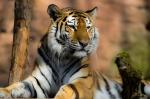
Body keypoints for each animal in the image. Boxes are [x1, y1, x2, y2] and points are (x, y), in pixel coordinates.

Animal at [0, 3, 150, 98]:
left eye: (88, 28)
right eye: (73, 27)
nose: (85, 43)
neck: (61, 58)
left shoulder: (82, 80)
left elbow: (66, 88)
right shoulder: (38, 82)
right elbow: (18, 85)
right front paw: (3, 91)